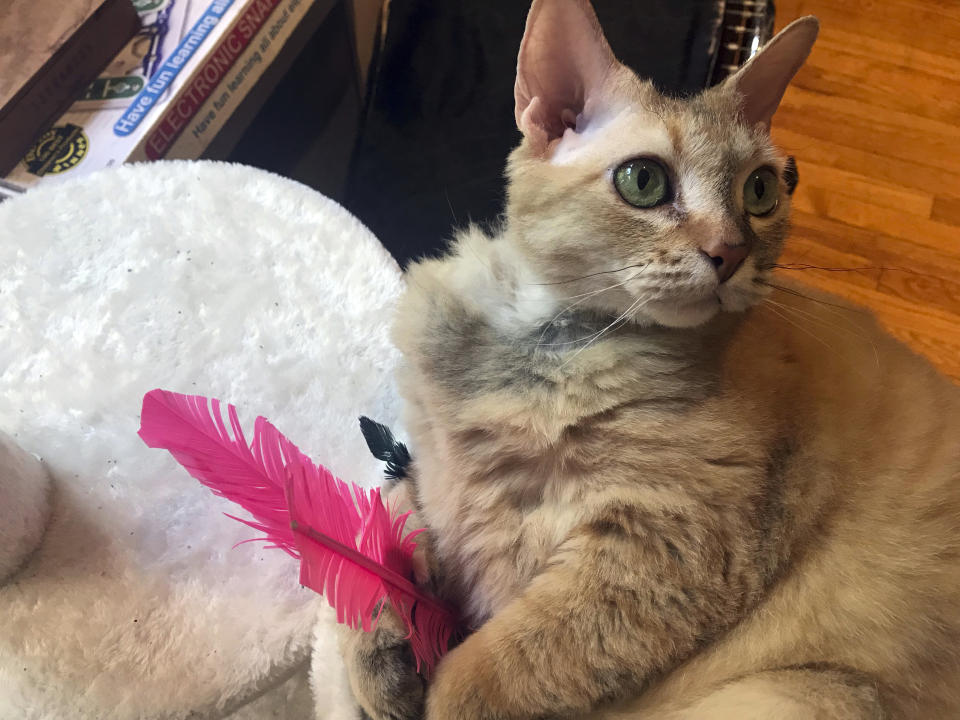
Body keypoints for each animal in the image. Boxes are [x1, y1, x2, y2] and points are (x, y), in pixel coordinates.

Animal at [340, 1, 960, 720]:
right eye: (644, 180)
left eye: (759, 190)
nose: (731, 253)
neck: (544, 340)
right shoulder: (438, 473)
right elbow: (385, 522)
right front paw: (384, 654)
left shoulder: (661, 553)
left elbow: (480, 675)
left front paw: (429, 683)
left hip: (806, 692)